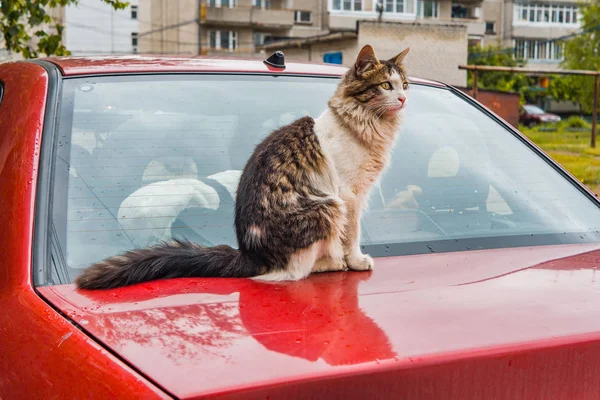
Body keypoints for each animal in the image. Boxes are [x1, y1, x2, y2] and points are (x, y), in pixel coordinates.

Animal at [75, 43, 410, 290]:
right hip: (328, 206)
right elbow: (351, 234)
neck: (367, 125)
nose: (404, 99)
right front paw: (356, 260)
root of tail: (250, 253)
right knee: (299, 269)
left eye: (404, 84)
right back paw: (333, 262)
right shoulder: (349, 195)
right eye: (385, 85)